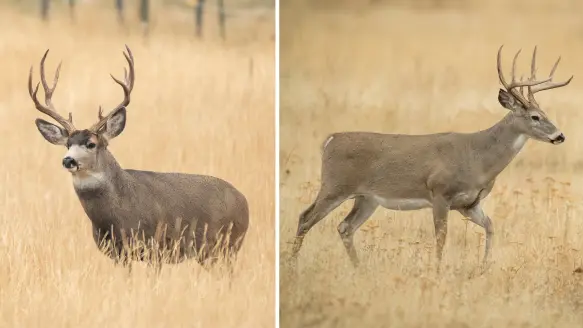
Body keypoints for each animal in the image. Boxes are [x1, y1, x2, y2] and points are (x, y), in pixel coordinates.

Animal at [29, 46, 249, 272]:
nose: (68, 161)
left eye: (91, 143)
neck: (115, 214)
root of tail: (244, 201)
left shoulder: (156, 245)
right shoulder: (118, 252)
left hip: (227, 245)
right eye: (67, 144)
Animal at [290, 46, 572, 272]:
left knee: (345, 227)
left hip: (367, 198)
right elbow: (441, 237)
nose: (560, 135)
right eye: (535, 116)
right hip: (335, 185)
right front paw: (436, 272)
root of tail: (331, 140)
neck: (478, 157)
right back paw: (291, 264)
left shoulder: (469, 204)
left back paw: (359, 270)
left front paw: (483, 267)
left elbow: (491, 226)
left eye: (545, 112)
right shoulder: (439, 192)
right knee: (305, 217)